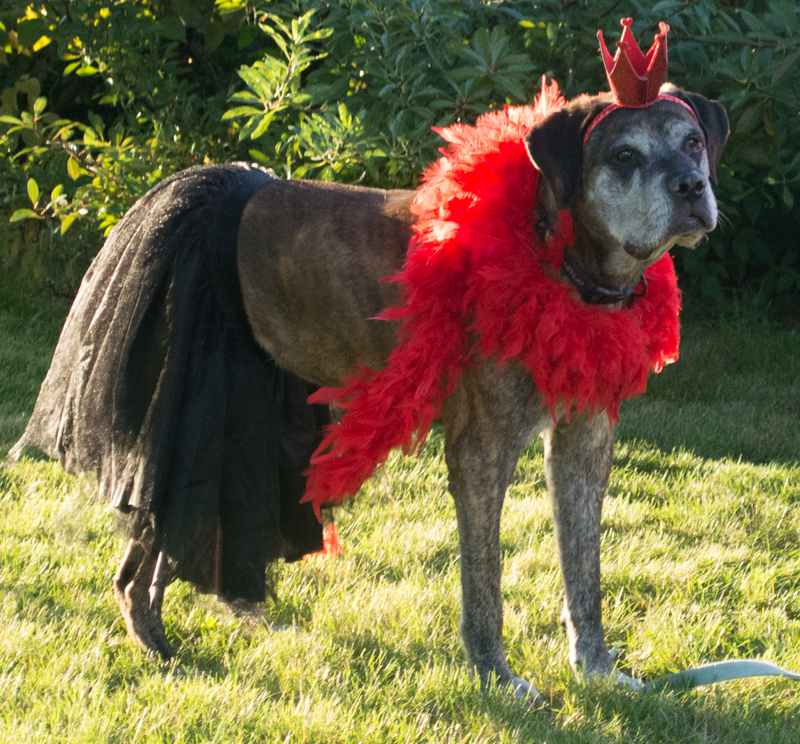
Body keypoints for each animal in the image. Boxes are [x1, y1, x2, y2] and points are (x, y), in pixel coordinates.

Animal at [15, 83, 728, 708]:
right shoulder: (482, 448)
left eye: (693, 142)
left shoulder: (584, 443)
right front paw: (497, 679)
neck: (561, 262)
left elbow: (585, 571)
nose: (692, 187)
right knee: (140, 554)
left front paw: (598, 670)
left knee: (170, 536)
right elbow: (485, 582)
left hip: (219, 428)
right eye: (623, 156)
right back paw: (161, 654)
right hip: (187, 411)